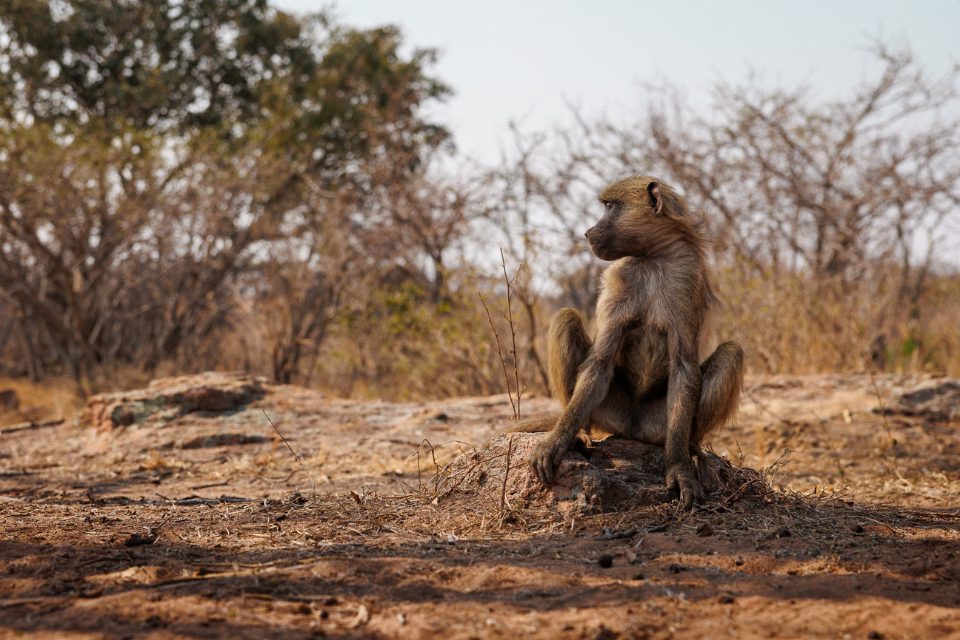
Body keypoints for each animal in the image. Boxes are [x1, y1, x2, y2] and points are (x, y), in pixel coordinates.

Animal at [516, 176, 743, 508]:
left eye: (610, 206)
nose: (588, 233)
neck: (652, 258)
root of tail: (632, 429)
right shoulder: (616, 279)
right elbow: (600, 361)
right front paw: (556, 441)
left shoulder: (686, 277)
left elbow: (684, 368)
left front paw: (679, 467)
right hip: (607, 408)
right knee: (566, 318)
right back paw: (580, 434)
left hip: (659, 422)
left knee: (731, 352)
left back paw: (690, 448)